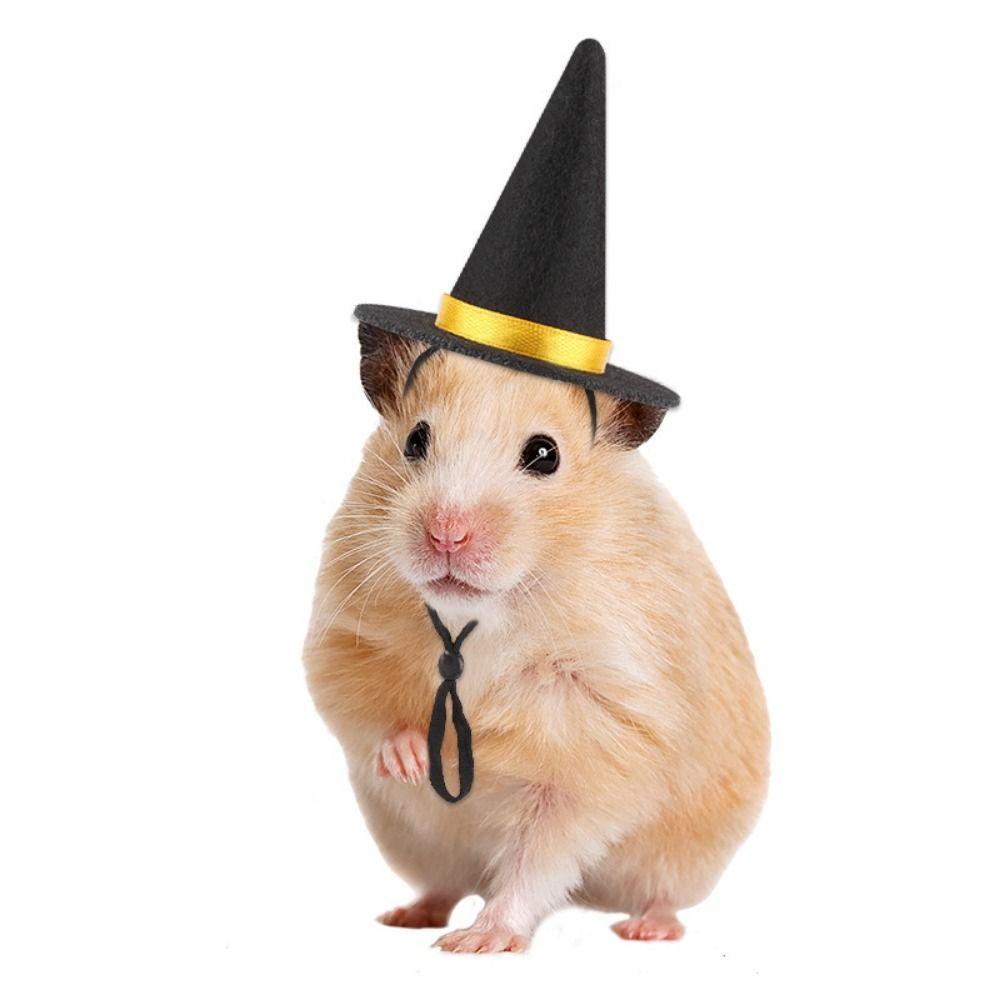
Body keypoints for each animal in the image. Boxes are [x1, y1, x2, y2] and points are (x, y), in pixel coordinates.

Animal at [304, 324, 769, 953]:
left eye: (545, 454)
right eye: (416, 440)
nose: (446, 534)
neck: (484, 615)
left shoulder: (598, 736)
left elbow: (537, 853)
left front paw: (479, 942)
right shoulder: (343, 633)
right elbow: (364, 706)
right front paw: (410, 762)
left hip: (686, 854)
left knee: (658, 893)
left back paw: (645, 929)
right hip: (417, 845)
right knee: (444, 886)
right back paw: (406, 916)